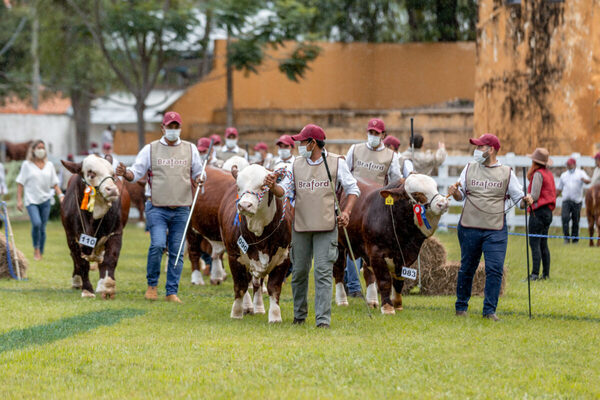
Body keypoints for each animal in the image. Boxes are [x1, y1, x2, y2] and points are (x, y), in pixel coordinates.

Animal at [61, 155, 130, 298]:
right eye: (91, 173)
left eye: (113, 174)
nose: (112, 190)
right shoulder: (71, 237)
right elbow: (81, 262)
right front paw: (87, 290)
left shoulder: (116, 233)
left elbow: (110, 259)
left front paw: (107, 286)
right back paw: (77, 281)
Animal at [218, 164, 292, 324]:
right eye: (238, 187)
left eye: (263, 186)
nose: (244, 205)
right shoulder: (234, 256)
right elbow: (240, 285)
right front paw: (236, 312)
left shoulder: (284, 257)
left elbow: (274, 287)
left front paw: (275, 316)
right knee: (247, 282)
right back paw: (247, 307)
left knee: (257, 283)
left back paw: (258, 307)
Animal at [336, 173, 448, 314]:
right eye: (416, 194)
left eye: (435, 187)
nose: (443, 203)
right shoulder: (377, 253)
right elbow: (384, 280)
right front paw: (388, 307)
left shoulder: (406, 256)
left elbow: (398, 281)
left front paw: (398, 304)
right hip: (339, 244)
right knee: (339, 268)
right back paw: (342, 300)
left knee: (368, 271)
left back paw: (372, 301)